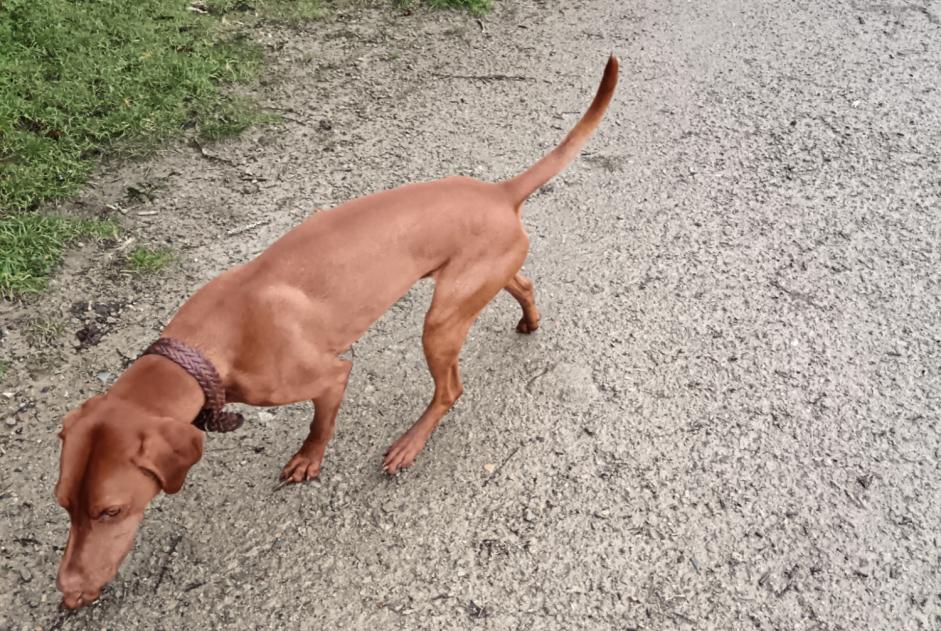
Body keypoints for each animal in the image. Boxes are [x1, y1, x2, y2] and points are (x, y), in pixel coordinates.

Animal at [55, 56, 620, 608]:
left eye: (110, 511)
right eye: (64, 504)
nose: (69, 592)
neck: (211, 342)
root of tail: (499, 192)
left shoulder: (330, 377)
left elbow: (318, 425)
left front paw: (309, 461)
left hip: (439, 323)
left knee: (450, 390)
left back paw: (409, 444)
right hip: (475, 284)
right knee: (522, 283)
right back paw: (529, 320)